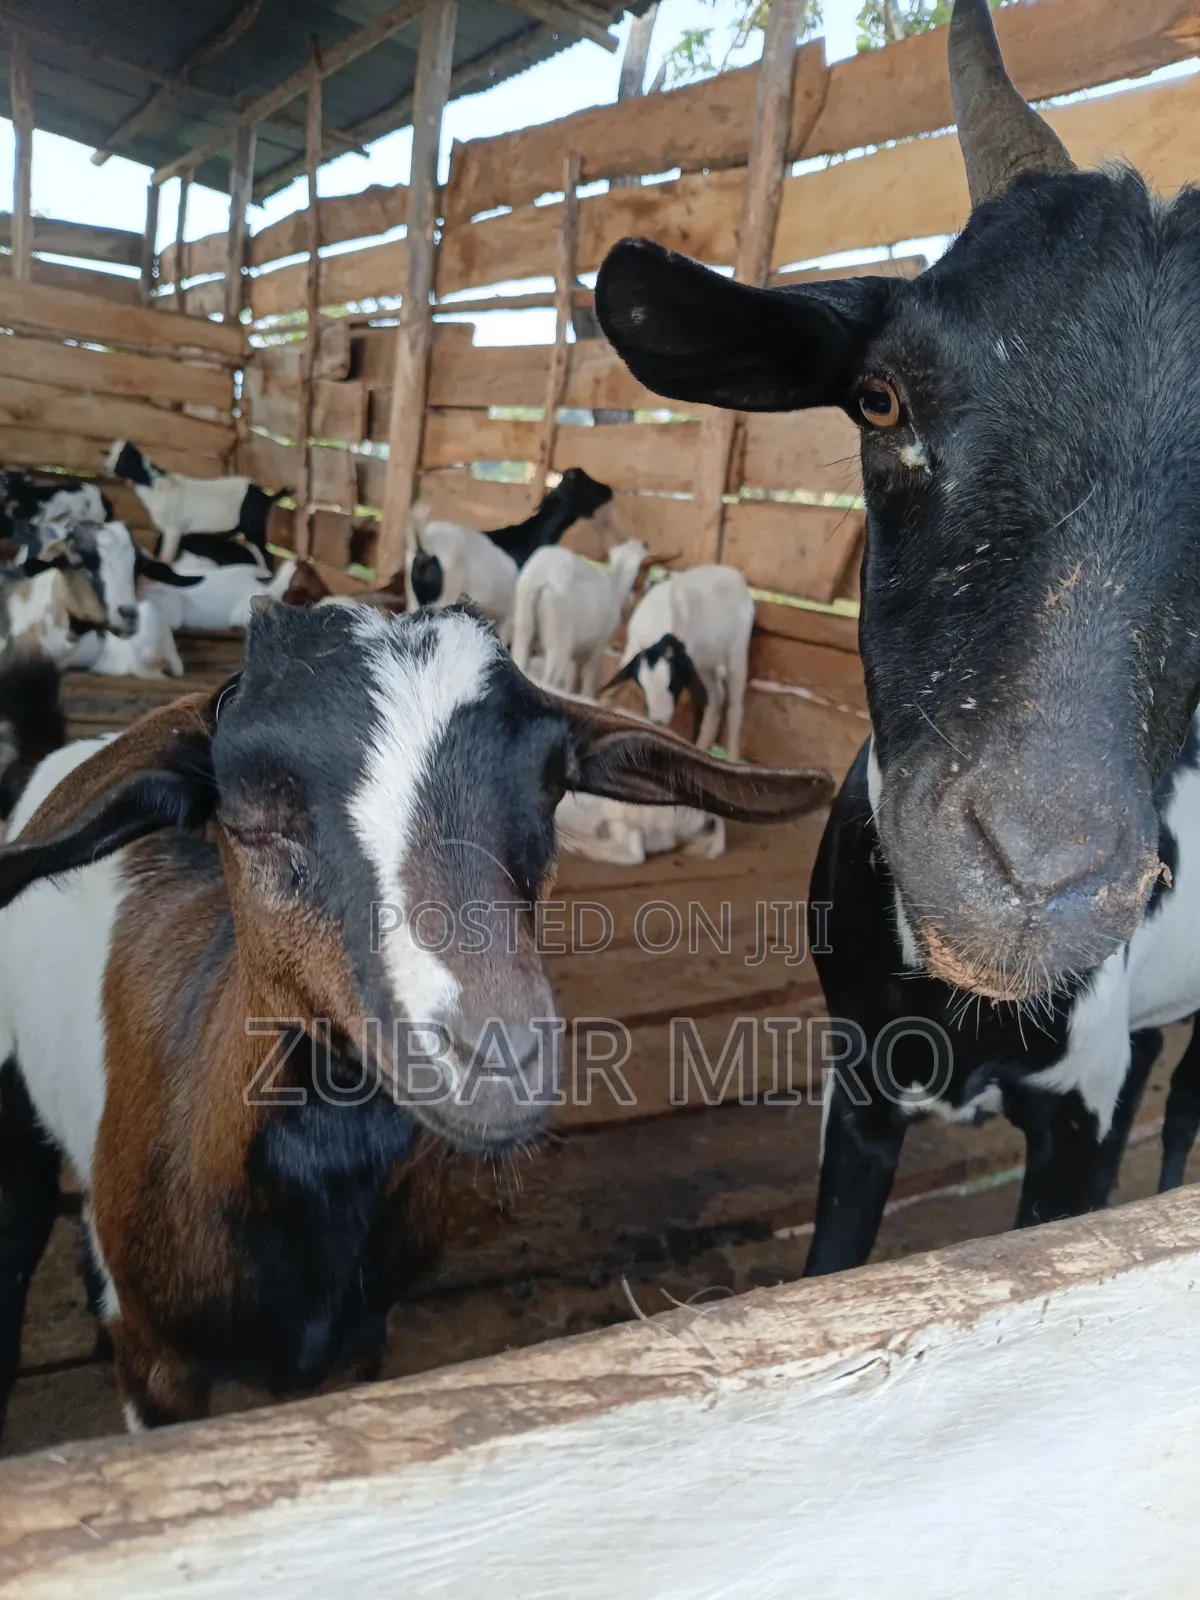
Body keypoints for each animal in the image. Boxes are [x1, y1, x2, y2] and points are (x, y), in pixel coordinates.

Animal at [104, 441, 286, 567]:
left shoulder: (174, 528)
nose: (105, 467)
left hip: (254, 528)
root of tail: (266, 497)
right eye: (110, 452)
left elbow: (166, 557)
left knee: (267, 555)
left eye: (123, 457)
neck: (157, 486)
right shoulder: (169, 529)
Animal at [512, 540, 648, 697]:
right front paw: (586, 696)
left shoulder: (577, 648)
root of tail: (542, 574)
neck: (615, 583)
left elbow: (572, 675)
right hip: (559, 642)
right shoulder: (600, 644)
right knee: (548, 679)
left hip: (524, 625)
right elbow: (589, 674)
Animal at [605, 566, 755, 758]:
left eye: (673, 681)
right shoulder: (633, 648)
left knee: (735, 708)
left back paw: (732, 757)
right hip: (704, 665)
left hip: (736, 651)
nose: (659, 720)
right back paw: (701, 748)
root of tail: (734, 573)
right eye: (642, 686)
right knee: (716, 698)